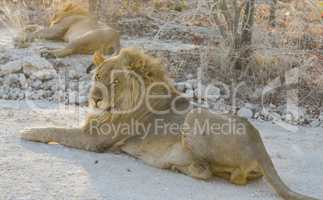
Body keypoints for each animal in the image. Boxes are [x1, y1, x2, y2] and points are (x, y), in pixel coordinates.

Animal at [20, 48, 322, 200]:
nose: (94, 99)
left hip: (196, 118)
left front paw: (27, 131)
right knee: (232, 177)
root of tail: (260, 146)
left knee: (206, 172)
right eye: (97, 76)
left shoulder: (94, 139)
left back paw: (176, 164)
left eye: (114, 82)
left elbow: (55, 129)